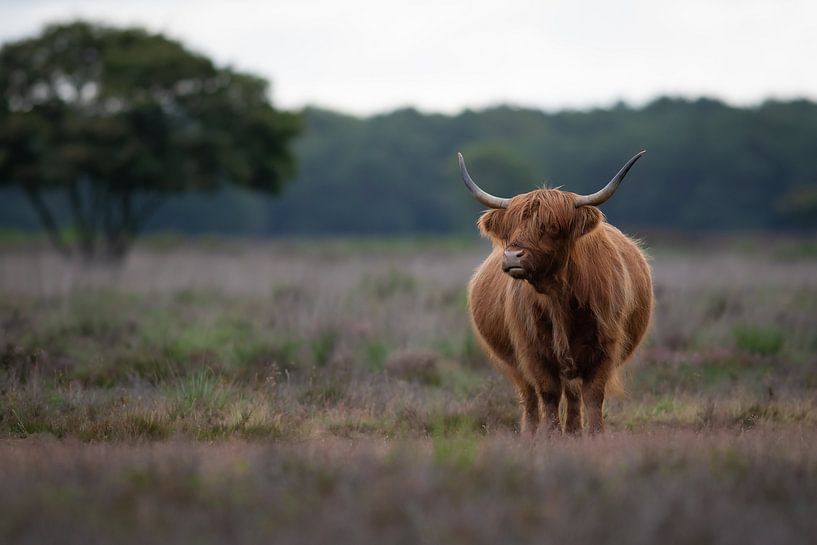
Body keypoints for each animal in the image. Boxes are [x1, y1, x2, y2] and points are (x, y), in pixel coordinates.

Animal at [460, 152, 652, 434]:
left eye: (552, 227)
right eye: (511, 227)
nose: (512, 256)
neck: (558, 299)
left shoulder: (605, 346)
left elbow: (593, 395)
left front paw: (595, 435)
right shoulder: (532, 350)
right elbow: (548, 394)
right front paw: (550, 435)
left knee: (573, 395)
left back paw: (573, 432)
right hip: (516, 363)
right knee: (530, 397)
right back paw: (532, 434)